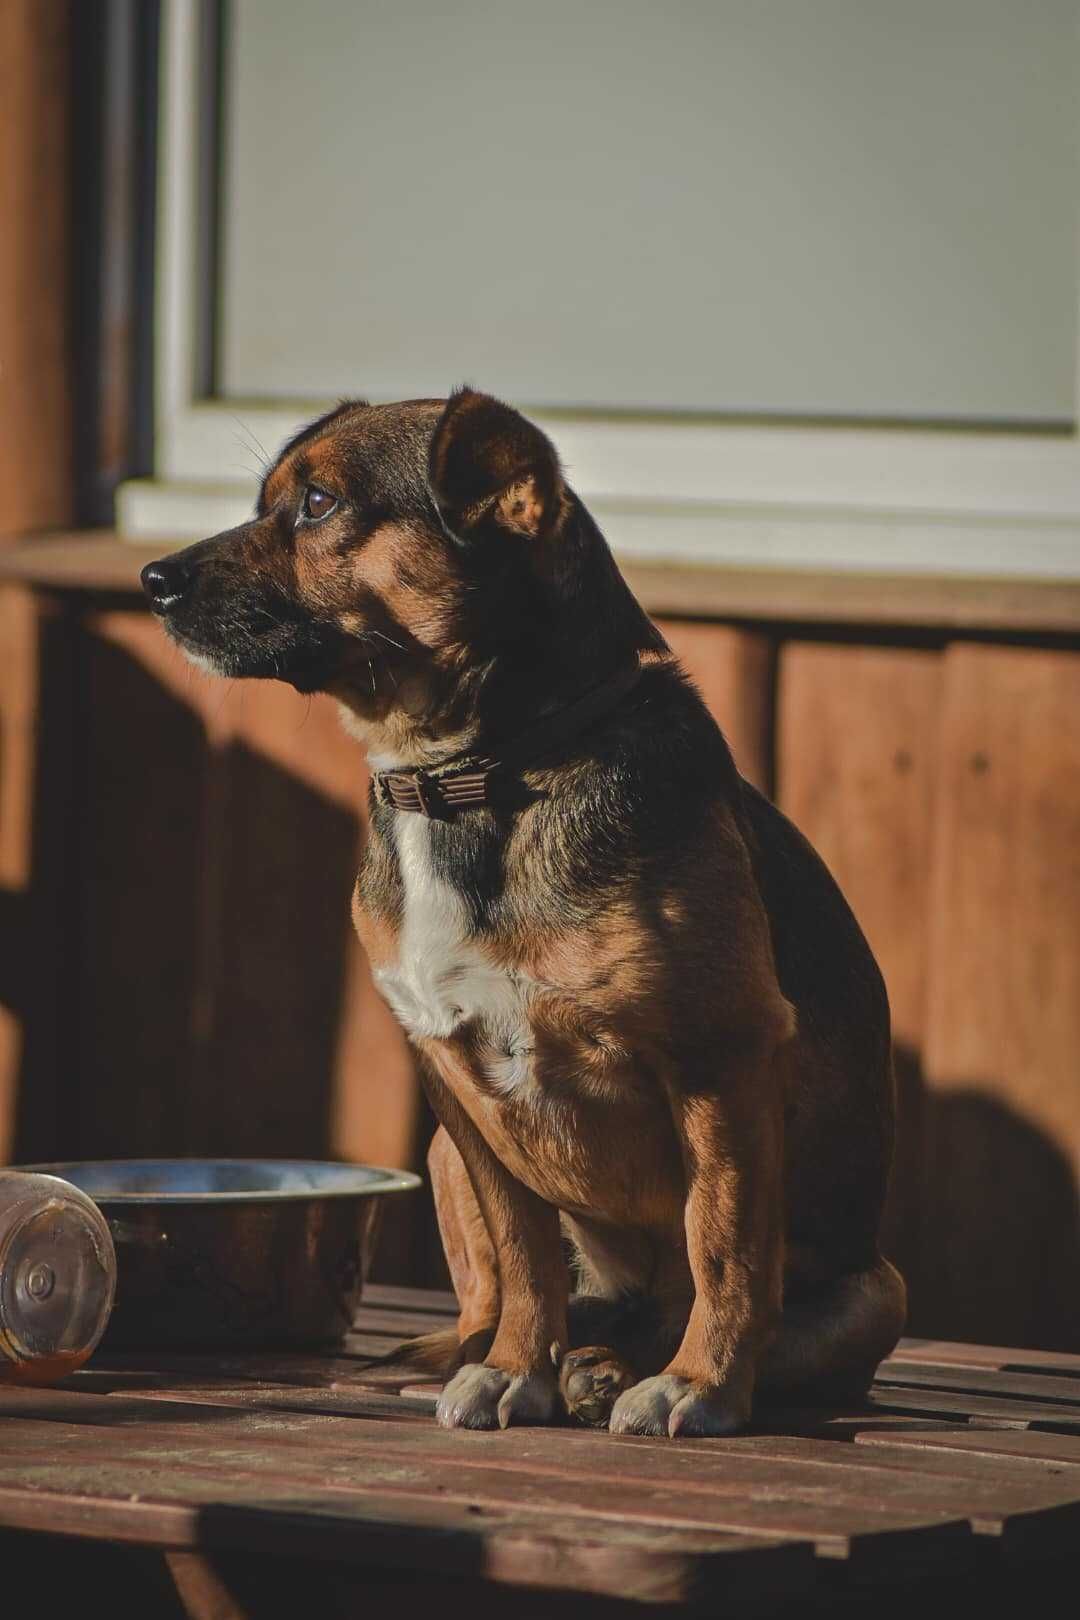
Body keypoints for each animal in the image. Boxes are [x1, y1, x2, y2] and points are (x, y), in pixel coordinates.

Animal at [141, 385, 906, 1438]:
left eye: (319, 506)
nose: (151, 579)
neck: (473, 774)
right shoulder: (457, 1083)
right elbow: (524, 1249)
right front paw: (515, 1368)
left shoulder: (719, 1058)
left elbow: (724, 1245)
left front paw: (700, 1383)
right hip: (440, 1151)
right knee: (499, 1293)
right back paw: (537, 1354)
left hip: (878, 1292)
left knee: (730, 1308)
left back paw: (623, 1366)